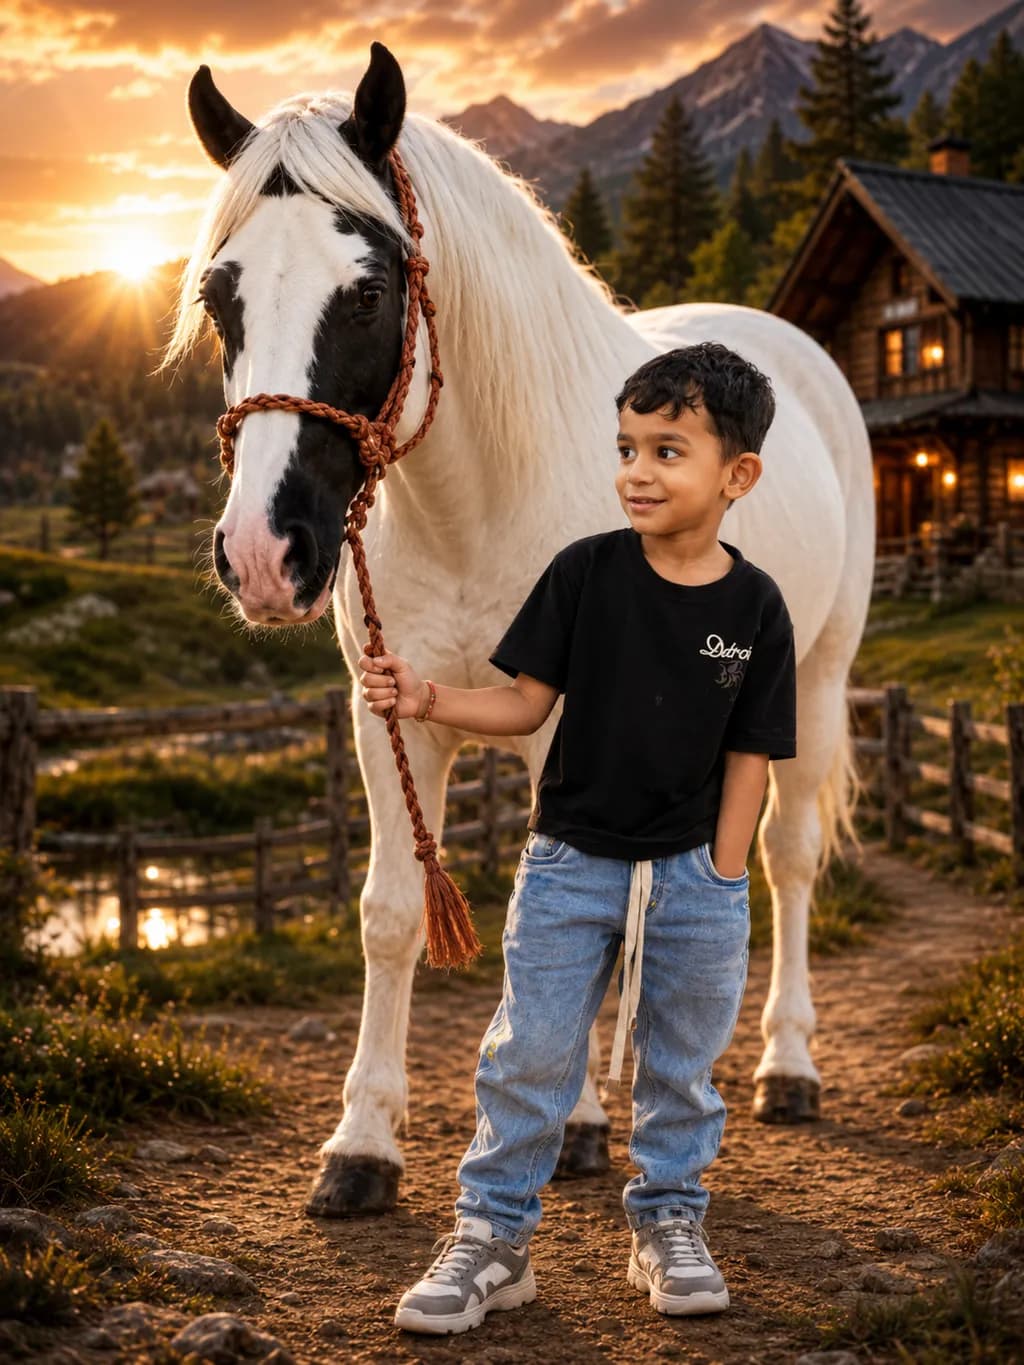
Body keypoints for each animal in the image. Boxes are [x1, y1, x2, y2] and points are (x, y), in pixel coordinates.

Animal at [162, 43, 874, 1217]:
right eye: (223, 295)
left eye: (367, 294)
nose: (265, 553)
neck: (474, 502)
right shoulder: (389, 716)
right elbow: (392, 912)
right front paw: (362, 1145)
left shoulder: (567, 730)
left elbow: (580, 909)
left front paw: (575, 1125)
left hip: (813, 680)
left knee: (786, 858)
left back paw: (788, 1065)